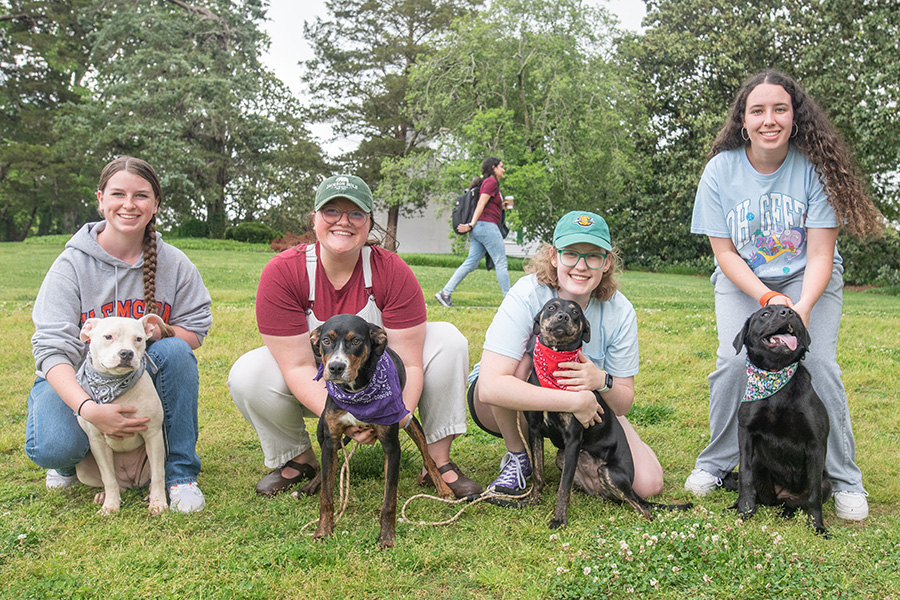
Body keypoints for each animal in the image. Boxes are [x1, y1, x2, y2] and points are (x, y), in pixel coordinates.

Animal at [75, 314, 169, 516]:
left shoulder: (153, 435)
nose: (126, 353)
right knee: (116, 484)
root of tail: (131, 480)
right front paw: (110, 506)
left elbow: (158, 475)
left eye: (139, 339)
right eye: (108, 336)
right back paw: (104, 495)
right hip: (83, 470)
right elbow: (108, 478)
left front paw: (158, 503)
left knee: (151, 478)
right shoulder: (97, 441)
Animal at [306, 314, 454, 548]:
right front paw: (323, 531)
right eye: (326, 341)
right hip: (324, 432)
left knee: (428, 458)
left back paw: (444, 490)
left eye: (356, 341)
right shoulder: (330, 441)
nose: (336, 367)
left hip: (409, 420)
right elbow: (326, 497)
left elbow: (389, 500)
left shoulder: (391, 447)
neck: (356, 392)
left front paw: (386, 537)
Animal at [524, 298, 692, 528]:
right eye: (551, 307)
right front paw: (533, 501)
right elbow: (538, 474)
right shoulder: (535, 430)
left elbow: (563, 487)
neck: (555, 362)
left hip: (608, 472)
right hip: (563, 457)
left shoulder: (573, 438)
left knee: (644, 510)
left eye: (575, 312)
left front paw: (559, 519)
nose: (563, 317)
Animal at [732, 304, 828, 536]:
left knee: (793, 504)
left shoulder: (816, 443)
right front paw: (745, 510)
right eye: (765, 314)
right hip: (758, 464)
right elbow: (745, 476)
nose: (788, 313)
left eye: (797, 314)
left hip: (826, 484)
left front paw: (816, 525)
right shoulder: (745, 432)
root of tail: (780, 495)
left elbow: (814, 494)